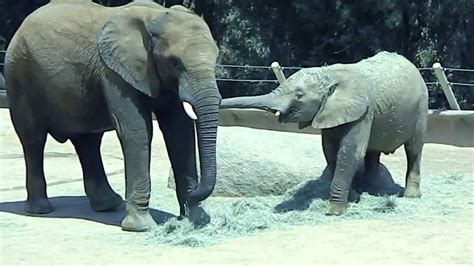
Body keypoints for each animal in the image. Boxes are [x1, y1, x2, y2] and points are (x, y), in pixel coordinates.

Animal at [4, 0, 221, 231]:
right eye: (175, 62)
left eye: (216, 58)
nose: (194, 192)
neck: (156, 16)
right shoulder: (113, 72)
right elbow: (137, 130)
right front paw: (142, 227)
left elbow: (179, 133)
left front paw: (196, 220)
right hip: (19, 74)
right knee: (34, 139)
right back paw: (40, 209)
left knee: (87, 142)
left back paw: (108, 205)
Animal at [222, 52, 430, 216]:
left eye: (299, 95)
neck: (329, 74)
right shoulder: (331, 113)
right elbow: (330, 151)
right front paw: (353, 197)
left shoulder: (363, 111)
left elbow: (349, 152)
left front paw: (334, 212)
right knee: (373, 153)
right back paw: (375, 191)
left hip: (421, 107)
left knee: (414, 149)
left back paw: (410, 195)